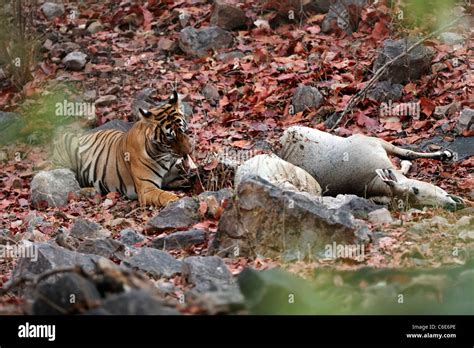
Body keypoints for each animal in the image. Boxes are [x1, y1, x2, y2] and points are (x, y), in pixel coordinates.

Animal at [52, 91, 192, 208]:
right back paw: (90, 191)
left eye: (183, 131)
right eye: (170, 138)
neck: (164, 155)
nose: (188, 152)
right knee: (67, 182)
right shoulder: (146, 188)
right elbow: (163, 195)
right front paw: (176, 199)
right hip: (67, 141)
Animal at [280, 126, 464, 211]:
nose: (452, 204)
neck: (372, 179)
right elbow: (408, 153)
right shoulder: (372, 141)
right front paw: (445, 153)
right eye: (415, 191)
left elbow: (406, 155)